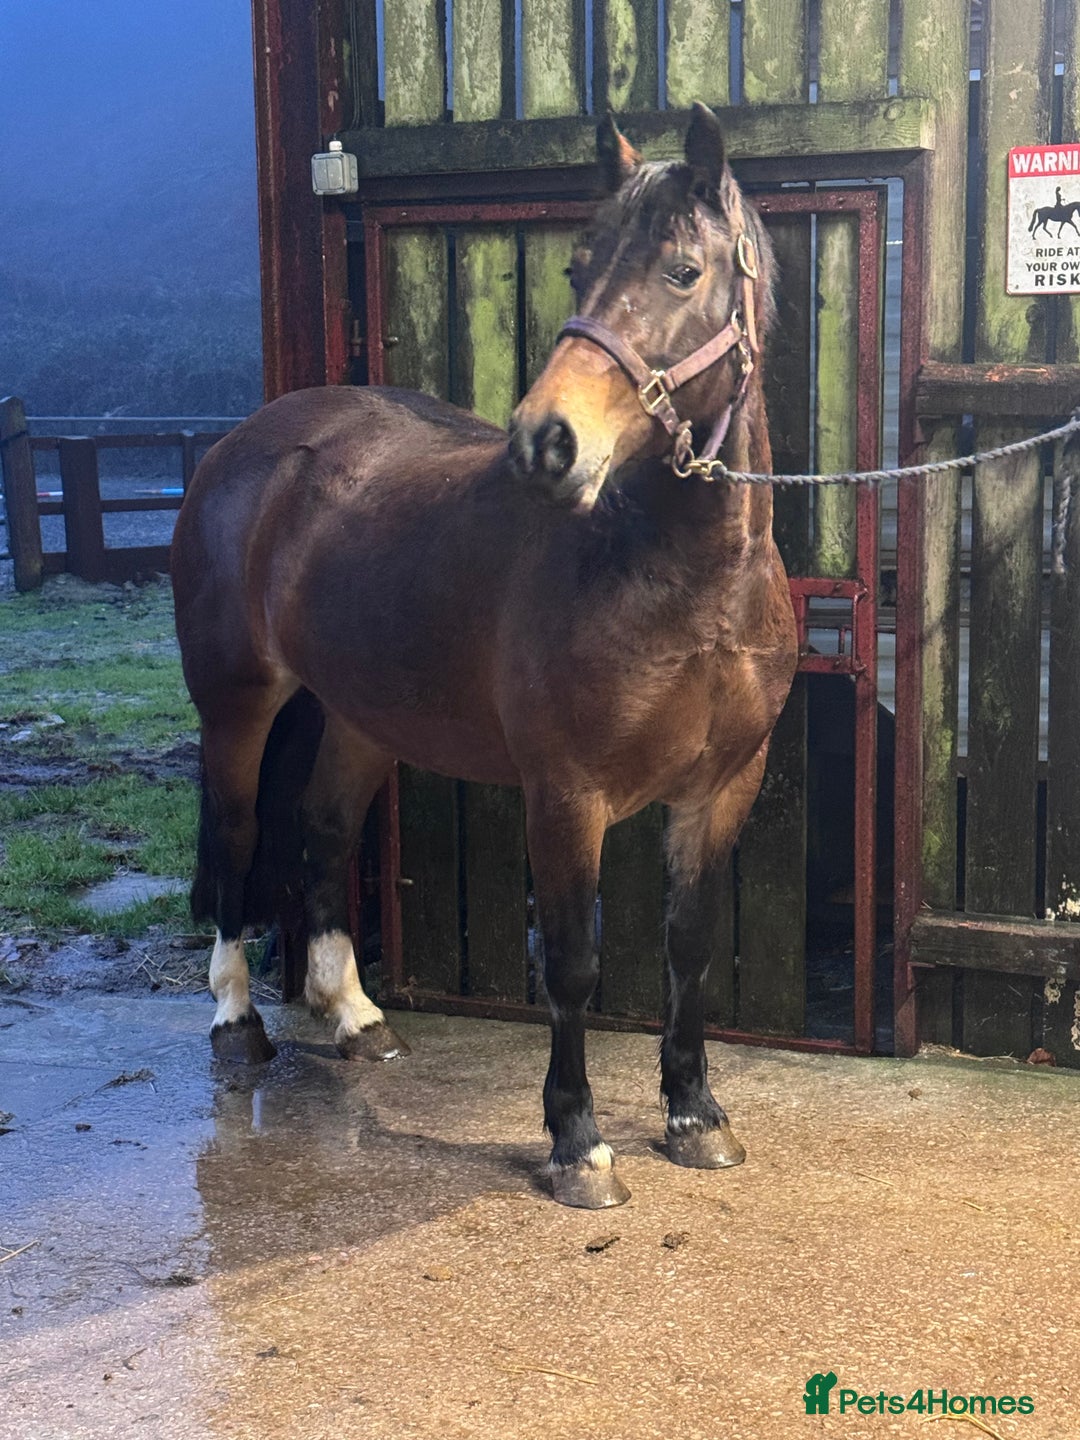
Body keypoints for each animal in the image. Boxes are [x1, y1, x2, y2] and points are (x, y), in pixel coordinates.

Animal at [172, 102, 798, 1209]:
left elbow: (686, 949)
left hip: (361, 714)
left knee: (323, 829)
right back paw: (238, 1022)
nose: (545, 444)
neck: (688, 585)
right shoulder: (567, 795)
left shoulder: (721, 786)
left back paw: (356, 1018)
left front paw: (694, 1115)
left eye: (684, 271)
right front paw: (579, 1144)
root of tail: (244, 448)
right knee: (241, 842)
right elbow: (576, 964)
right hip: (238, 708)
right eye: (578, 268)